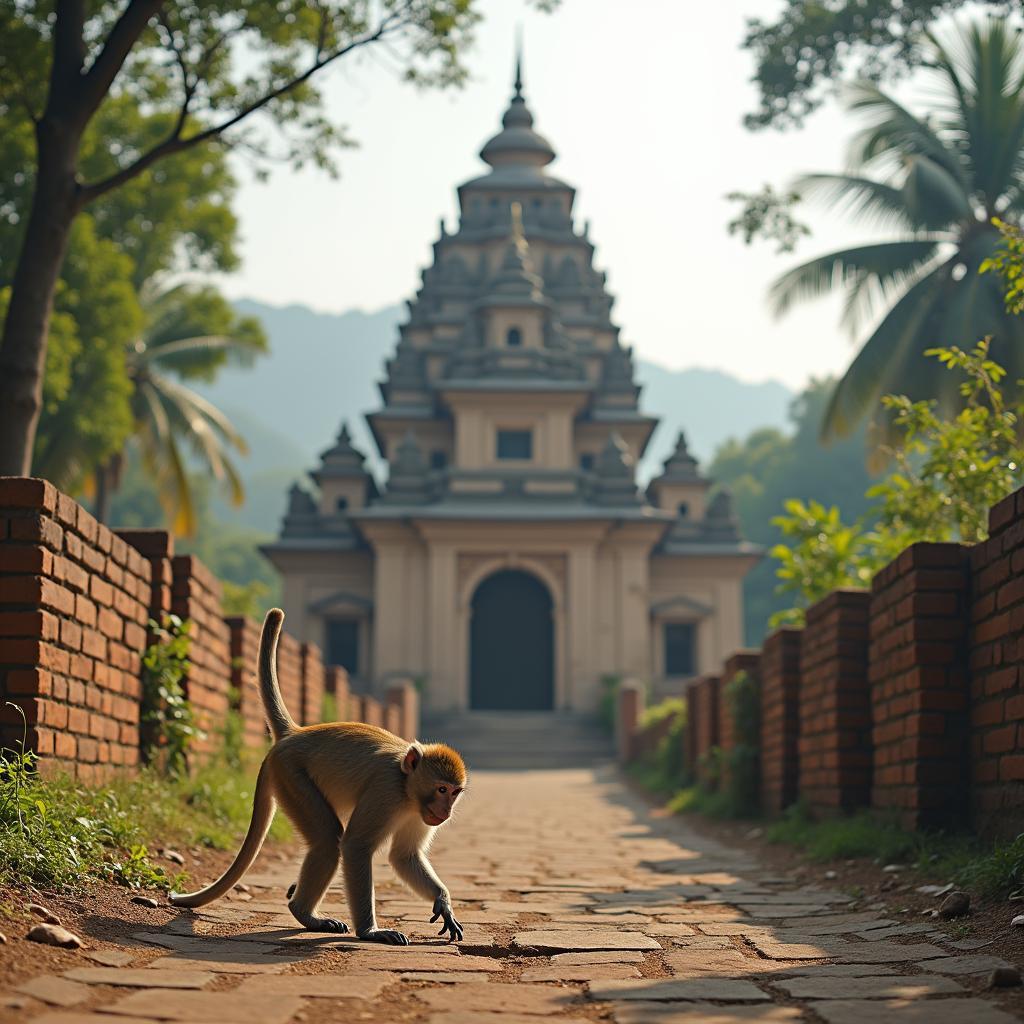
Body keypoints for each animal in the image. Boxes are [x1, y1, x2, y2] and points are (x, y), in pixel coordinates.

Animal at [171, 606, 468, 942]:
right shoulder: (385, 792)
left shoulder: (417, 812)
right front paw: (370, 931)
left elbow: (403, 856)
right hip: (291, 776)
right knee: (328, 839)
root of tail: (294, 733)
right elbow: (354, 846)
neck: (407, 787)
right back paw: (304, 912)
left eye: (454, 792)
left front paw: (443, 902)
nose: (446, 811)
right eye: (441, 789)